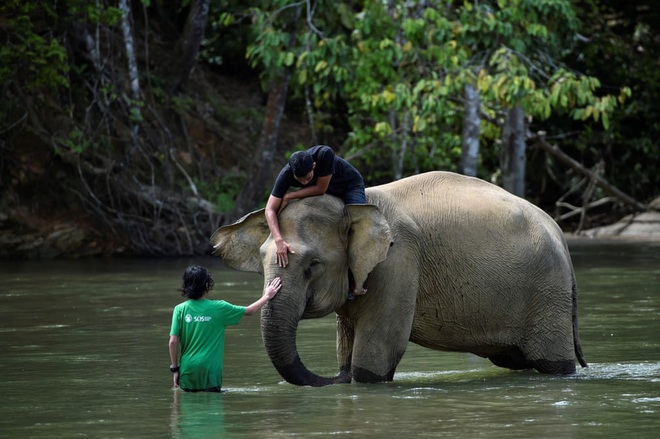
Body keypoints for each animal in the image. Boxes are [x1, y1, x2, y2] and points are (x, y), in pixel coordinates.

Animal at [211, 170, 588, 386]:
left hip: (547, 291)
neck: (357, 206)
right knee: (516, 361)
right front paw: (344, 372)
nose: (334, 380)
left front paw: (357, 379)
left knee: (550, 363)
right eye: (262, 261)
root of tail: (558, 230)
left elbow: (380, 350)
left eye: (313, 265)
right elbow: (347, 342)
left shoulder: (399, 260)